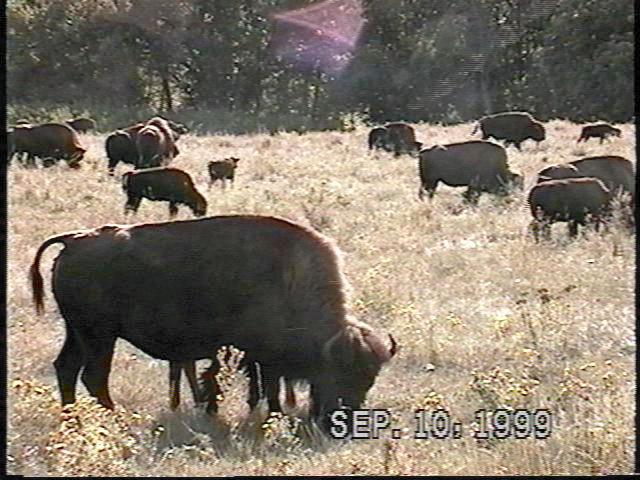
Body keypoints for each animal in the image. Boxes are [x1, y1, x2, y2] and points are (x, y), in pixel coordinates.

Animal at [31, 216, 400, 430]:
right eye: (337, 373)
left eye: (370, 379)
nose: (343, 424)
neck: (290, 277)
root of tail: (74, 240)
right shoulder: (258, 353)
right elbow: (264, 384)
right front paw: (268, 416)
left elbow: (261, 386)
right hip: (99, 336)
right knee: (94, 376)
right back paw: (117, 421)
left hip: (77, 332)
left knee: (66, 368)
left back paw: (74, 422)